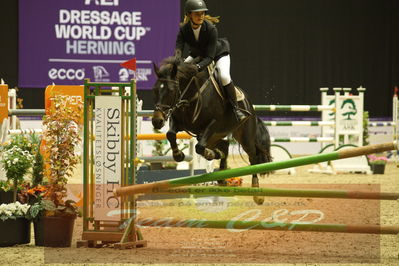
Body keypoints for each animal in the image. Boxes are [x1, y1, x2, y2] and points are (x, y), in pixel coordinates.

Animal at [152, 57, 274, 205]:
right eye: (155, 90)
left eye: (170, 91)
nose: (156, 121)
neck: (191, 96)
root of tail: (250, 104)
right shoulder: (177, 121)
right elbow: (170, 134)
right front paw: (178, 155)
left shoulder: (213, 124)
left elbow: (199, 148)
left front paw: (209, 154)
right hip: (215, 136)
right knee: (225, 147)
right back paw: (222, 177)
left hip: (244, 137)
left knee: (253, 158)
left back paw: (257, 193)